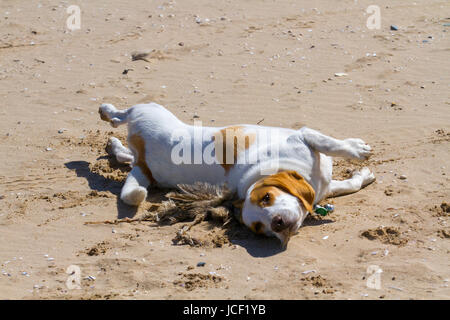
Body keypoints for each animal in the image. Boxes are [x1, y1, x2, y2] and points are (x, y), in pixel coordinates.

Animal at [99, 102, 376, 245]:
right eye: (260, 229)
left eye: (267, 198)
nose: (277, 223)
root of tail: (143, 153)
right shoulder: (307, 143)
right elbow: (332, 150)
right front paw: (359, 157)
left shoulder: (307, 140)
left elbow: (335, 152)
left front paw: (359, 160)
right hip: (148, 114)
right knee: (123, 117)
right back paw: (108, 114)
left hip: (148, 126)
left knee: (125, 142)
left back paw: (113, 139)